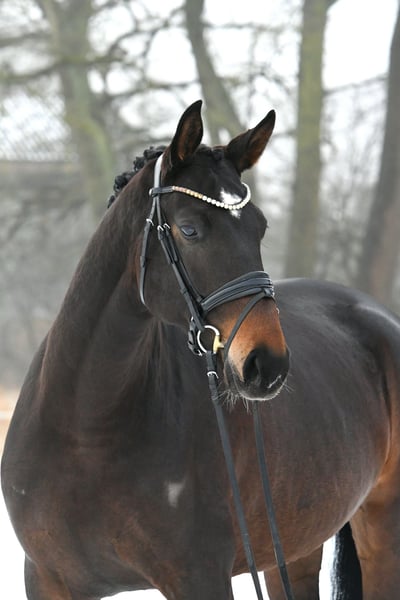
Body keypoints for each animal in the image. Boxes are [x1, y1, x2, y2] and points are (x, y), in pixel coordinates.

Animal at [2, 100, 400, 600]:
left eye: (260, 228)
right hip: (294, 546)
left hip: (382, 528)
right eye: (189, 229)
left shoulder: (199, 575)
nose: (267, 364)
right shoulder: (46, 578)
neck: (86, 428)